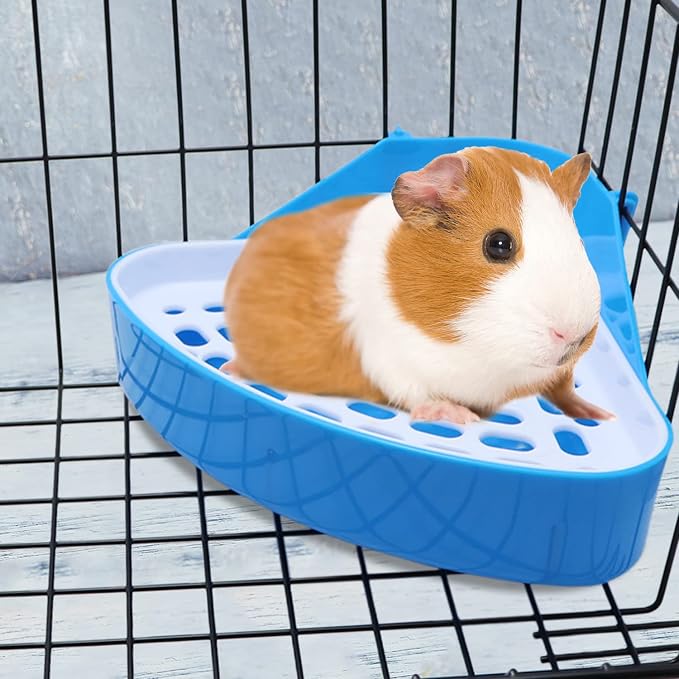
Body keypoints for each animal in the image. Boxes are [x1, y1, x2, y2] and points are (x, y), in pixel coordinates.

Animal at [222, 146, 614, 425]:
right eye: (499, 244)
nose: (574, 336)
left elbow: (564, 388)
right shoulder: (392, 361)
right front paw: (461, 416)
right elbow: (420, 394)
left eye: (578, 240)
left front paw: (599, 414)